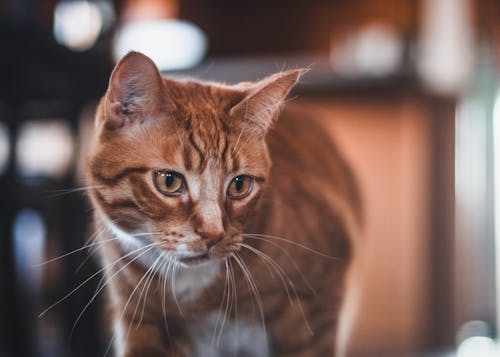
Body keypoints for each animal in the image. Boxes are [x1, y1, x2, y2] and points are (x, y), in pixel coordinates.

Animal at [85, 50, 360, 356]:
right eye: (169, 181)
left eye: (239, 185)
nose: (213, 234)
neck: (192, 291)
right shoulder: (140, 319)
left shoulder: (319, 302)